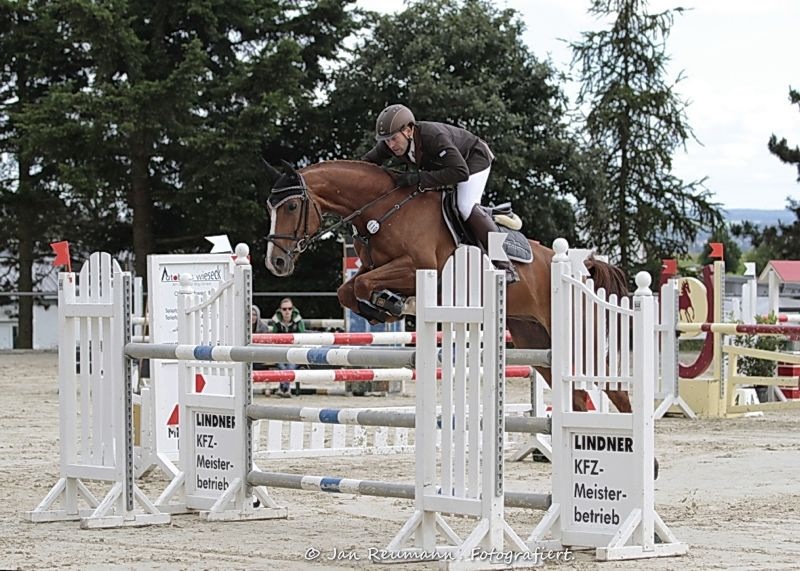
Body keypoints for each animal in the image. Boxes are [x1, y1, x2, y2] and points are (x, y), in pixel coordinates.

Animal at [262, 159, 632, 414]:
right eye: (270, 207)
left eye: (291, 206)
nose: (275, 262)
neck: (383, 209)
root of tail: (582, 270)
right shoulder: (372, 267)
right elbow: (349, 290)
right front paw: (384, 306)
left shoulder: (416, 267)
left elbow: (364, 284)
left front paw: (391, 303)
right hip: (536, 341)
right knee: (578, 397)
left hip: (577, 339)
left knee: (614, 389)